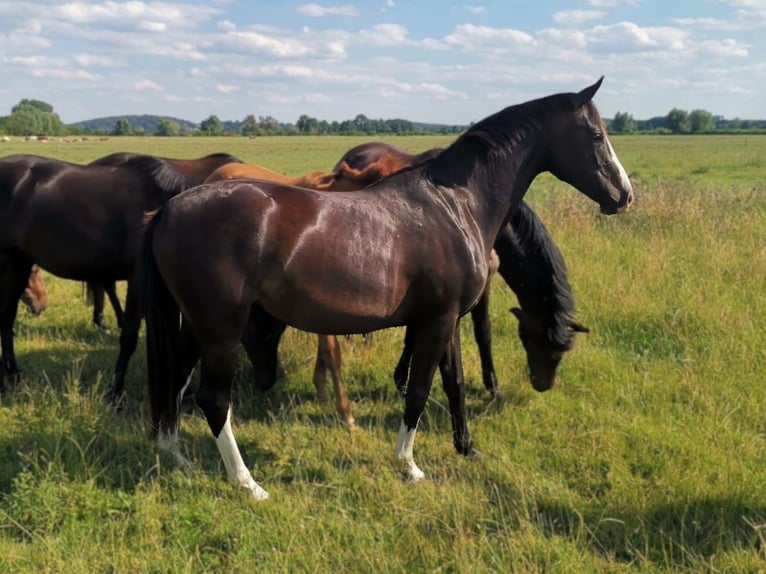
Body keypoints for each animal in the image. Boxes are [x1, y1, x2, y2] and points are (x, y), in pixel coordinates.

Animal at [141, 79, 632, 502]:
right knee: (212, 399)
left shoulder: (446, 319)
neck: (455, 204)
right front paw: (408, 465)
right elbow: (418, 388)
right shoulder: (436, 321)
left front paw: (467, 448)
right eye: (595, 135)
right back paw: (248, 483)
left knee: (176, 380)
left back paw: (176, 456)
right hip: (221, 328)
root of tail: (169, 209)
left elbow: (452, 381)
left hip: (197, 326)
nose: (624, 195)